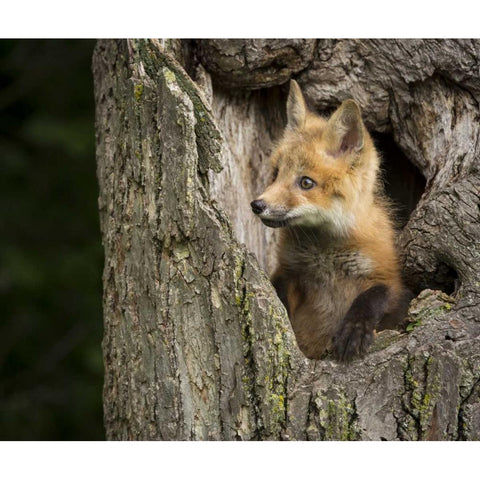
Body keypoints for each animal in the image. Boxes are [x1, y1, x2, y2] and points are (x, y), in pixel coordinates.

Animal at [249, 80, 410, 362]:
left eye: (306, 182)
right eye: (276, 173)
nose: (257, 205)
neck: (325, 256)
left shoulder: (390, 279)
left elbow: (374, 295)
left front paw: (354, 330)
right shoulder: (289, 272)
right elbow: (280, 295)